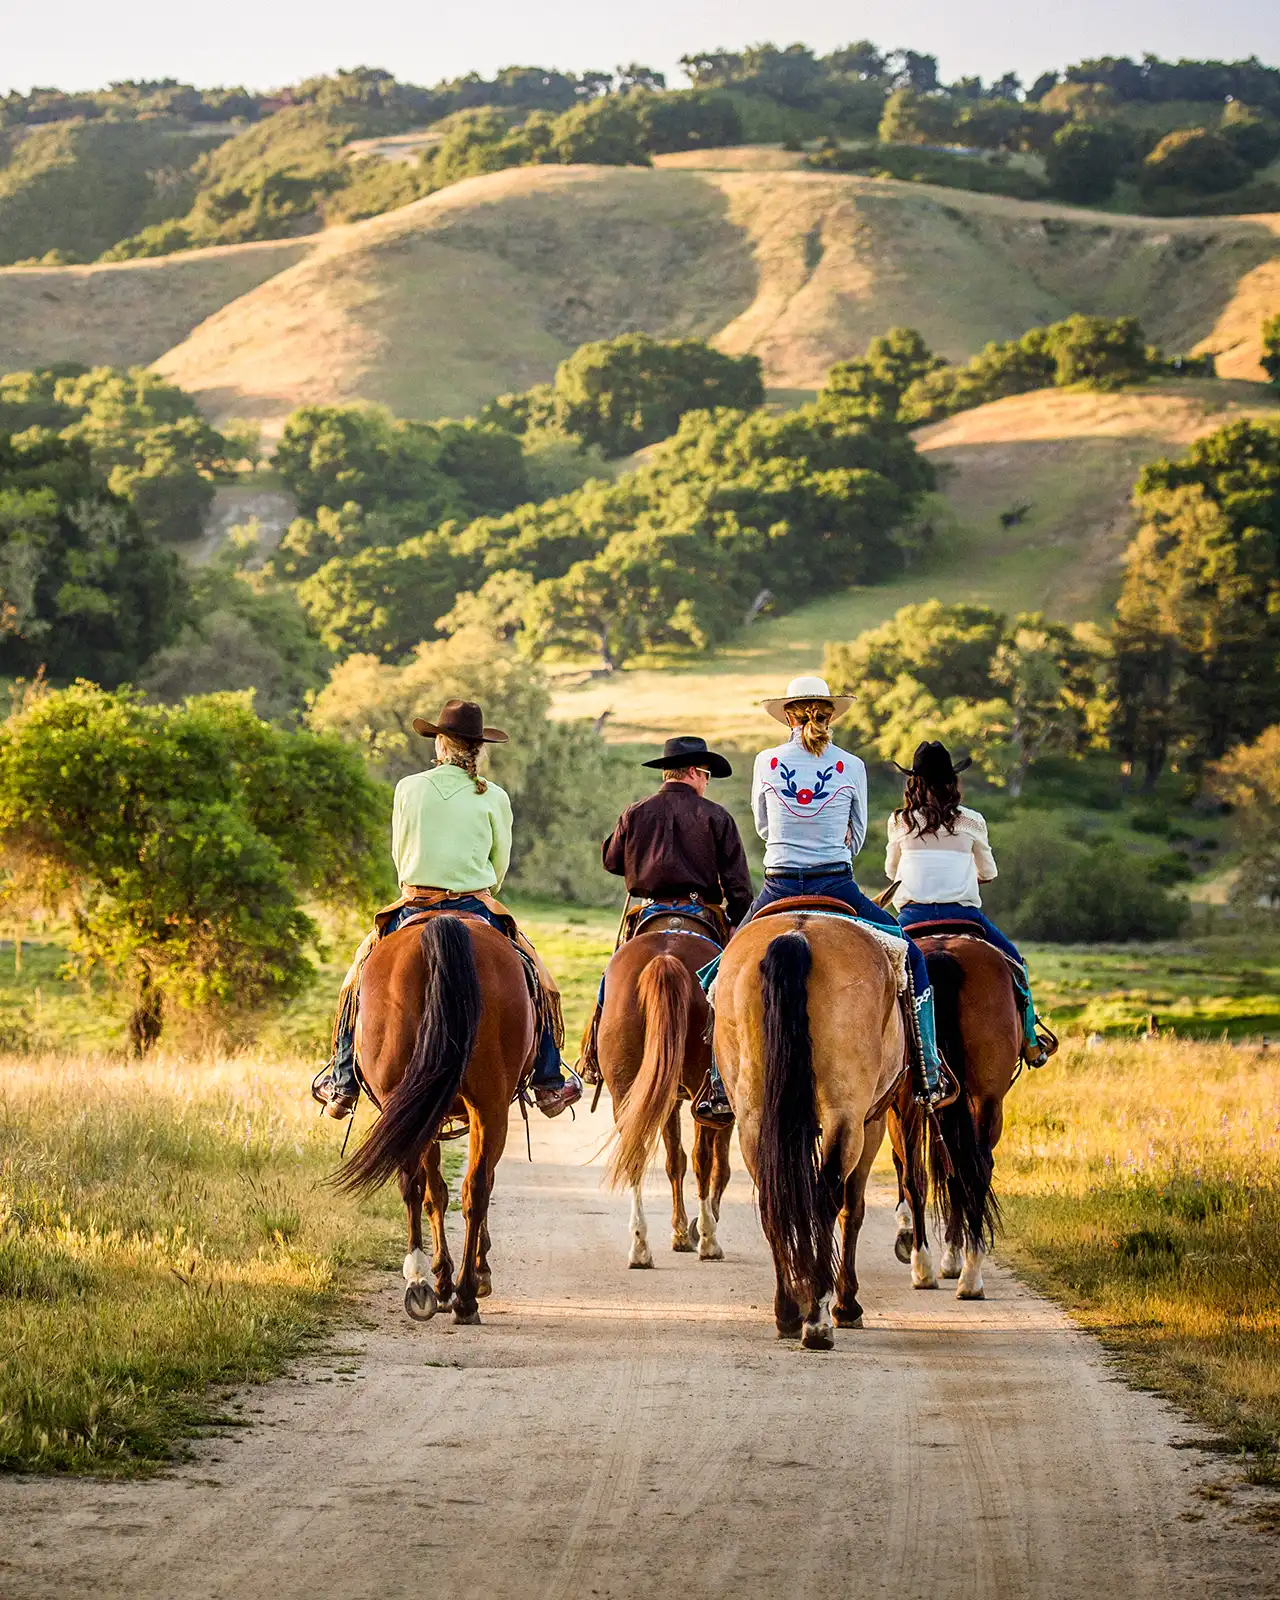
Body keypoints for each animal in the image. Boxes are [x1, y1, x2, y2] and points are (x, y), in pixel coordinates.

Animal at [337, 915, 531, 1324]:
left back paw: (421, 1284)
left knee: (417, 1185)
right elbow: (448, 1189)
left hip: (414, 1098)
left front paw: (444, 1279)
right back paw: (464, 1293)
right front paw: (462, 1277)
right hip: (486, 1104)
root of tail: (442, 924)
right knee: (473, 1188)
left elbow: (435, 1192)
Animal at [598, 908, 729, 1267]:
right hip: (702, 1087)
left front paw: (680, 1232)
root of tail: (666, 958)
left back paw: (640, 1246)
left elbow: (674, 1161)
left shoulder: (666, 1096)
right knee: (703, 1159)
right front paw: (692, 1230)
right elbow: (716, 1166)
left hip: (627, 1089)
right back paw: (709, 1240)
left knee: (636, 1154)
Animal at [710, 908, 908, 1344]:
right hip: (846, 1115)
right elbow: (853, 1208)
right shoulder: (870, 1123)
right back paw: (817, 1317)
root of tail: (796, 935)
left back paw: (788, 1309)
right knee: (827, 1197)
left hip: (754, 1114)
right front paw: (846, 1305)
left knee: (774, 1194)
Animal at [889, 934, 1017, 1299]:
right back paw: (966, 1273)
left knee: (923, 1175)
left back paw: (929, 1266)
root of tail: (945, 952)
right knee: (972, 1170)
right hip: (986, 1100)